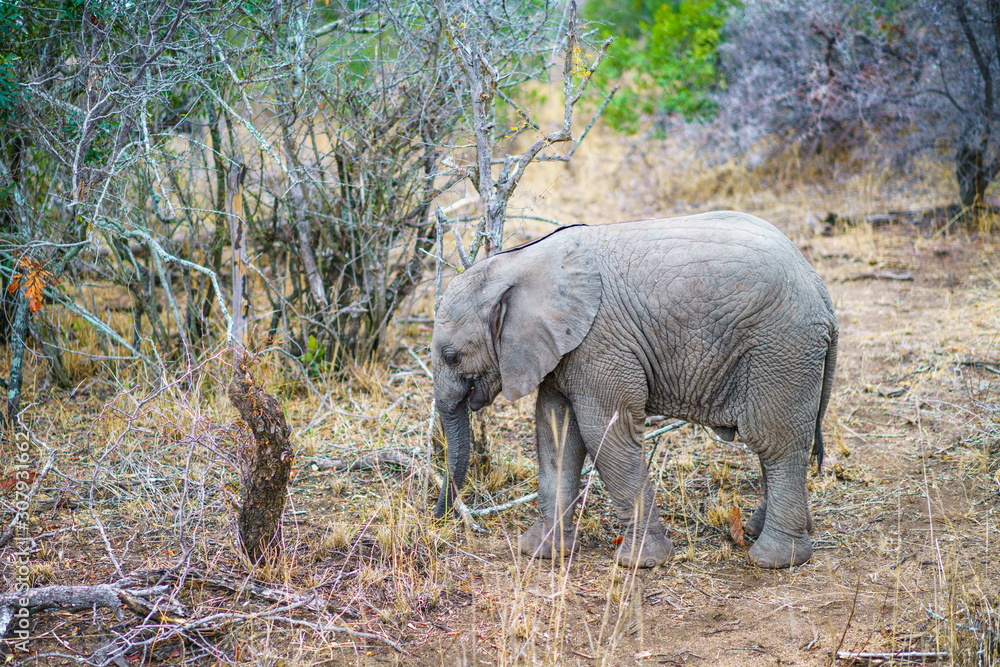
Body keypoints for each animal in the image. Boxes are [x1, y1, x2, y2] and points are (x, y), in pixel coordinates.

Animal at [430, 214, 836, 568]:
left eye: (451, 357)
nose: (438, 520)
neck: (519, 263)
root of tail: (821, 289)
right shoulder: (564, 349)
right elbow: (555, 432)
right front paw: (540, 551)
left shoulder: (599, 344)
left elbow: (604, 433)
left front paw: (640, 563)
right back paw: (759, 530)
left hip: (781, 346)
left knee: (775, 443)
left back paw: (773, 559)